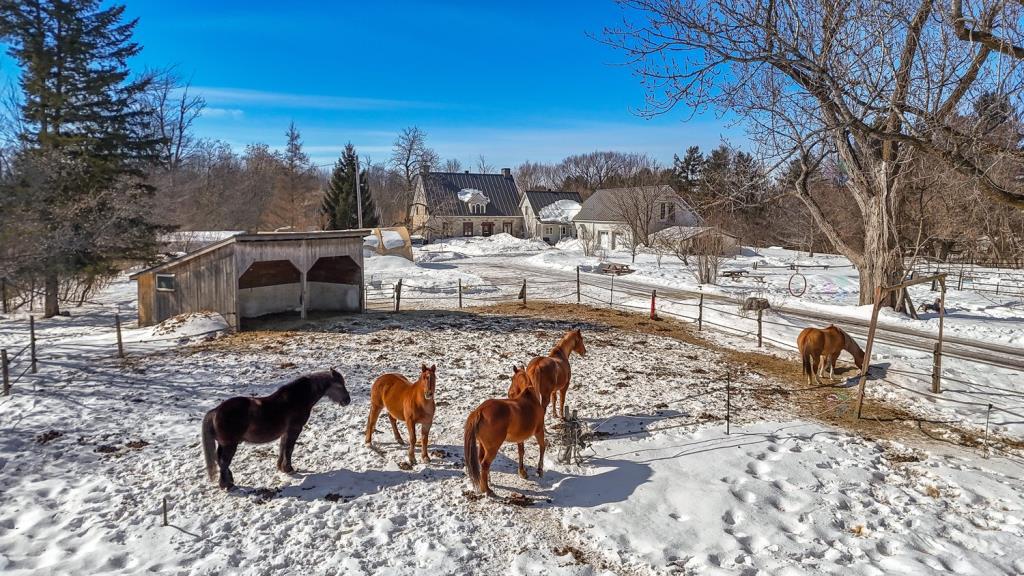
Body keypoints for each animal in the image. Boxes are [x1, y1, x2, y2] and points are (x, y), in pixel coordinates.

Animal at [199, 366, 352, 487]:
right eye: (339, 386)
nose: (347, 400)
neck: (297, 398)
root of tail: (215, 411)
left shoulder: (285, 432)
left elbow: (282, 448)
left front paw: (281, 468)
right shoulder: (294, 430)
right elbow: (289, 449)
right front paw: (289, 468)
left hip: (223, 444)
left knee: (220, 461)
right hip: (229, 445)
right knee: (224, 462)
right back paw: (227, 485)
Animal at [462, 362, 544, 494]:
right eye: (511, 378)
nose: (509, 393)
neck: (530, 399)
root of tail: (480, 411)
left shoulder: (520, 437)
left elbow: (521, 451)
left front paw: (522, 472)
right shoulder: (539, 431)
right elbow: (542, 447)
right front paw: (539, 470)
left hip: (482, 445)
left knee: (481, 460)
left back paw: (488, 482)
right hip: (492, 448)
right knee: (485, 463)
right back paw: (487, 490)